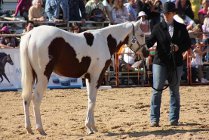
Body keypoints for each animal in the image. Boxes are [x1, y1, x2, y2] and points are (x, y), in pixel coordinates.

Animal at [19, 20, 147, 135]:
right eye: (141, 35)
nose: (146, 52)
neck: (105, 40)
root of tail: (31, 34)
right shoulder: (96, 76)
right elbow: (92, 100)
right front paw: (90, 127)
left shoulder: (88, 77)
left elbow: (90, 99)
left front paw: (92, 127)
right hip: (43, 75)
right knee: (36, 99)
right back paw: (40, 129)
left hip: (32, 75)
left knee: (26, 98)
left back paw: (29, 129)